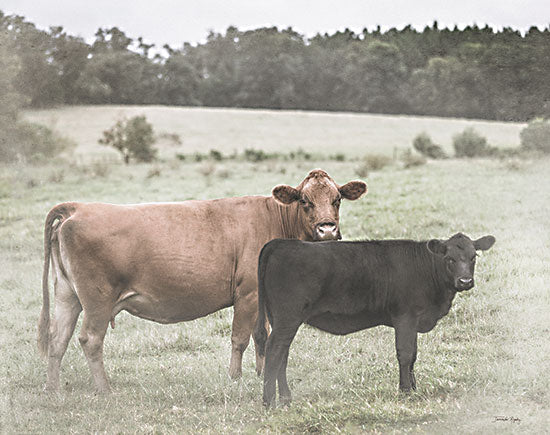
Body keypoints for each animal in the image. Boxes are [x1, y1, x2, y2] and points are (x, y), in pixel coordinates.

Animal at [37, 169, 366, 392]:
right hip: (98, 300)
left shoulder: (261, 295)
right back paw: (105, 389)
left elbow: (262, 335)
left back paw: (53, 389)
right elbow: (240, 338)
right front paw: (235, 378)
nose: (327, 229)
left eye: (337, 199)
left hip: (67, 295)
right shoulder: (248, 294)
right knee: (90, 339)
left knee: (57, 339)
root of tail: (78, 207)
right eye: (305, 201)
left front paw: (262, 374)